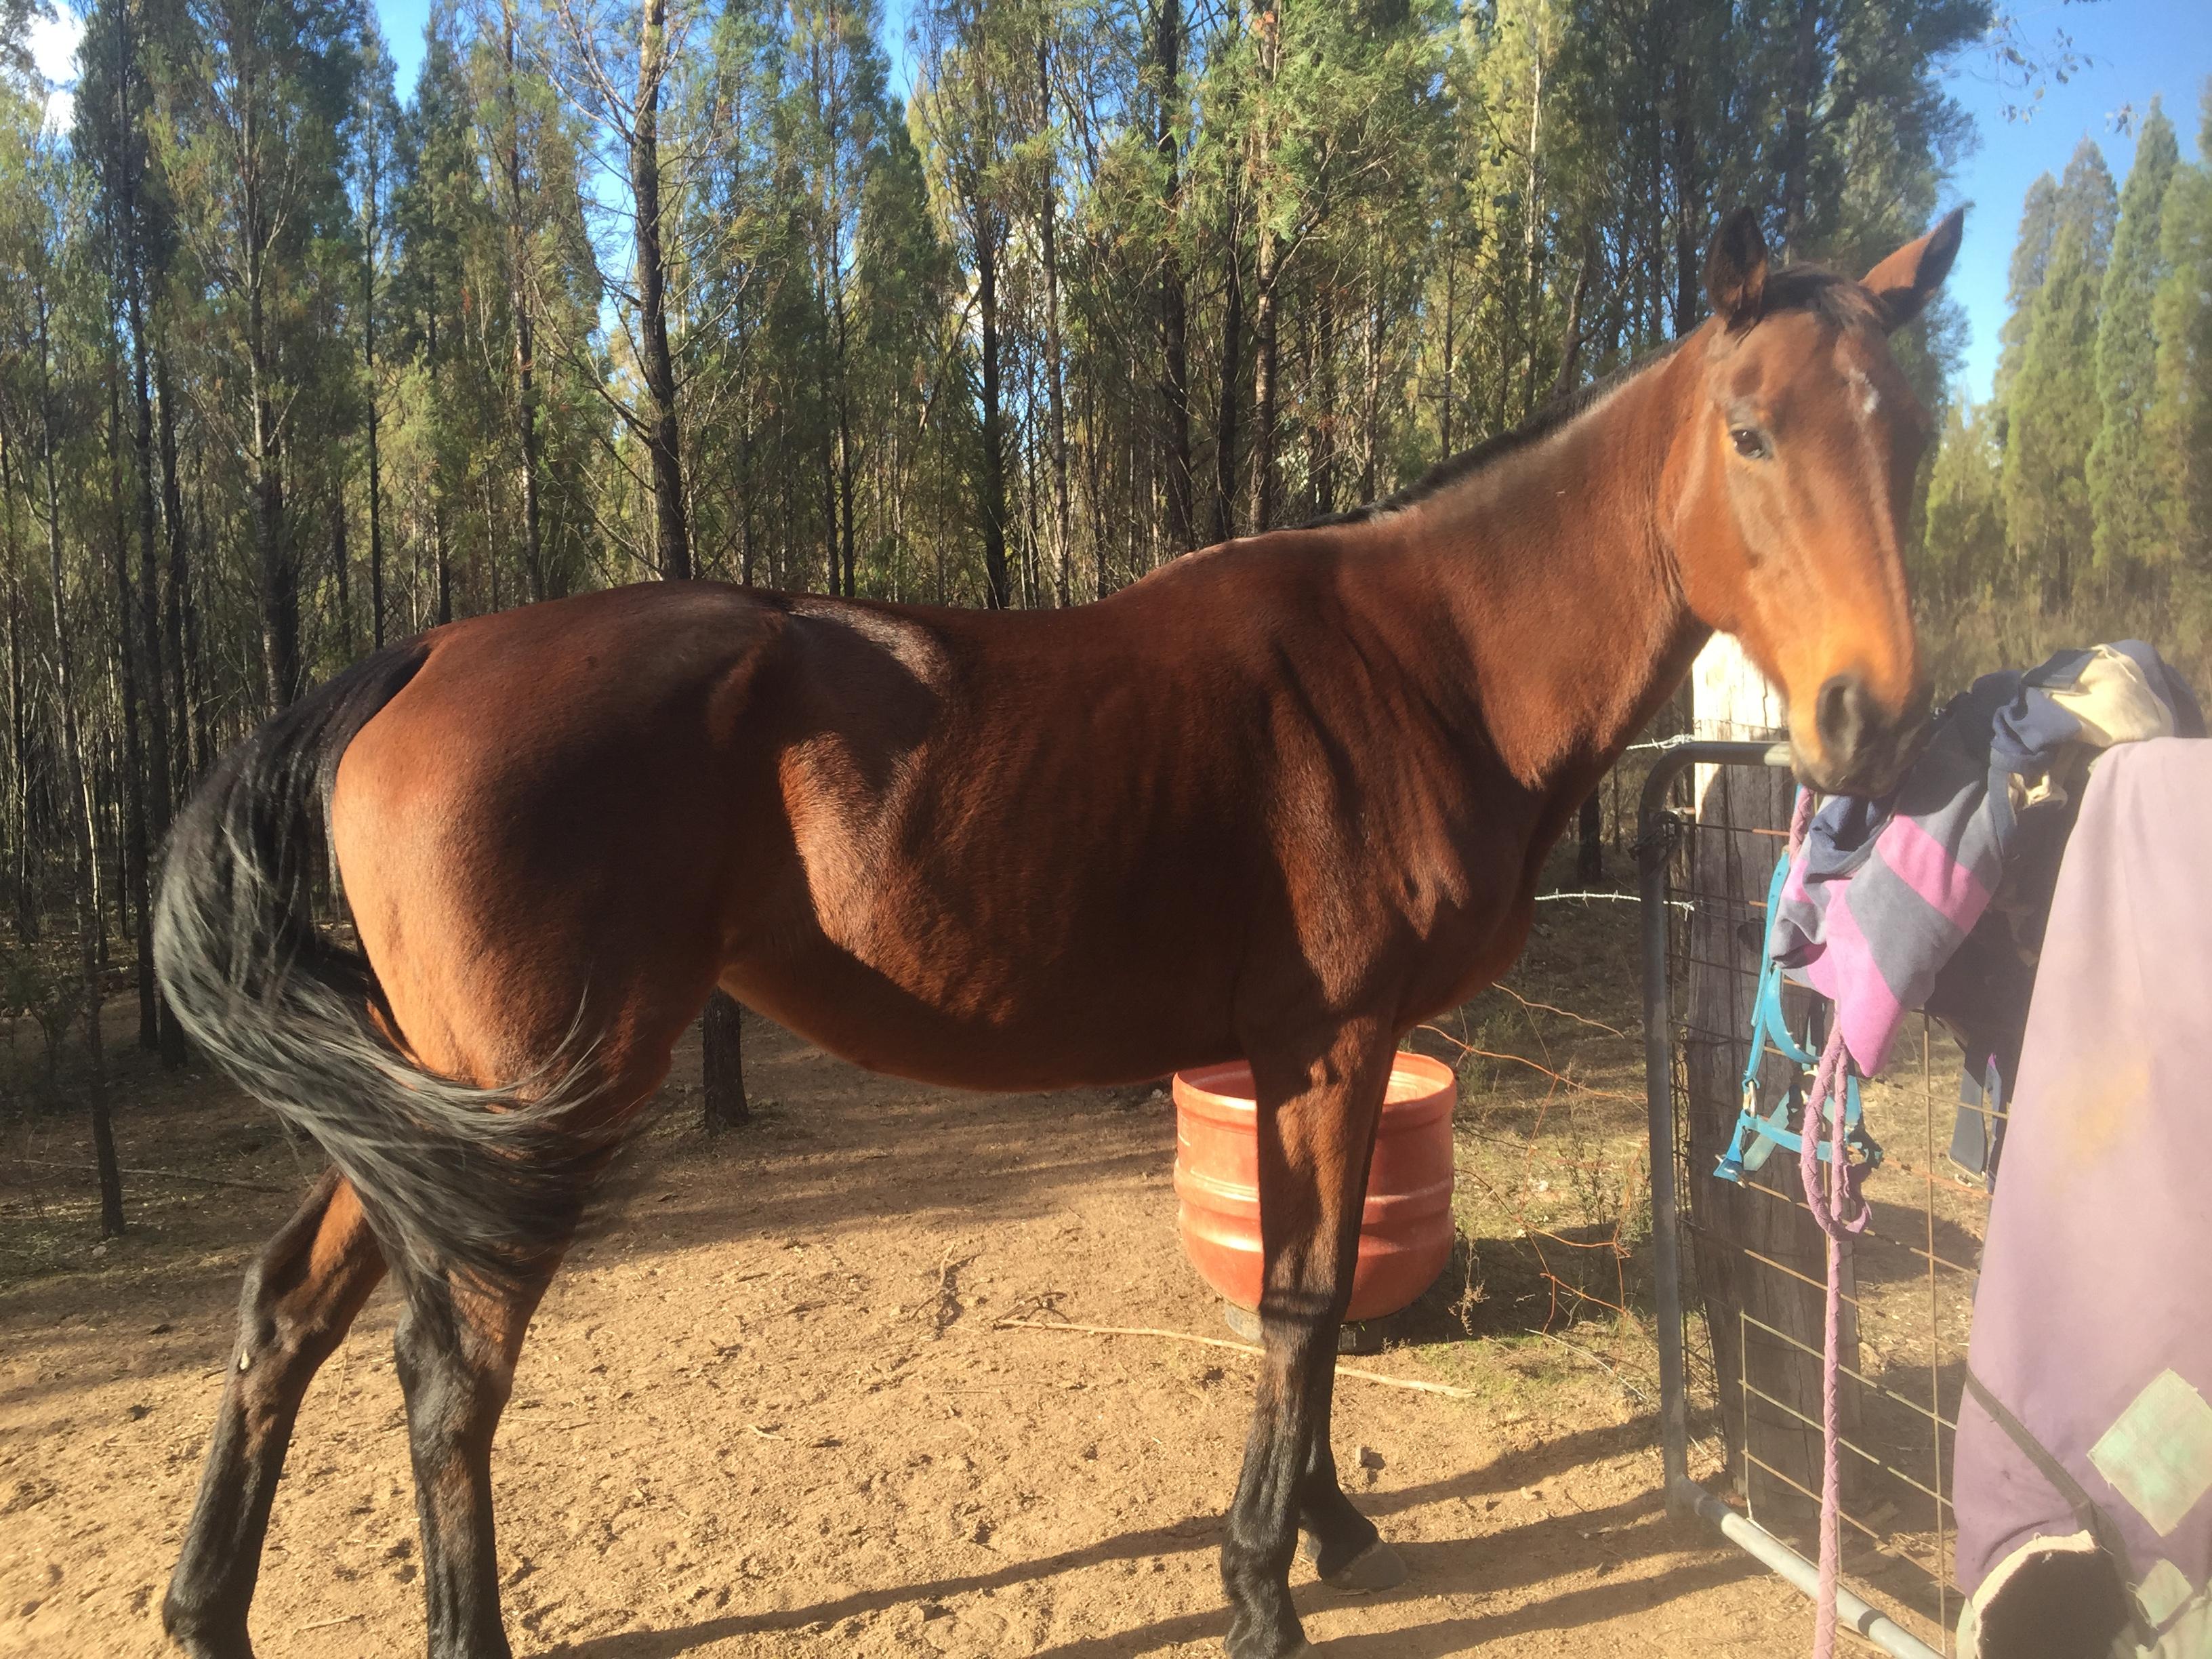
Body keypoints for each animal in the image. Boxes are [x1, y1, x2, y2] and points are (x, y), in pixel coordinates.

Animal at [152, 205, 1960, 1659]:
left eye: (1917, 435)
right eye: (1750, 430)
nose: (1873, 723)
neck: (1422, 659)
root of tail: (424, 654)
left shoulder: (1319, 1055)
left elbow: (1307, 1296)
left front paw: (1328, 1528)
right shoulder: (1333, 1039)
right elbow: (1303, 1300)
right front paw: (1263, 1583)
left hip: (437, 1113)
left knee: (284, 1309)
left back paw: (206, 1606)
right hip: (532, 1105)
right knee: (449, 1377)